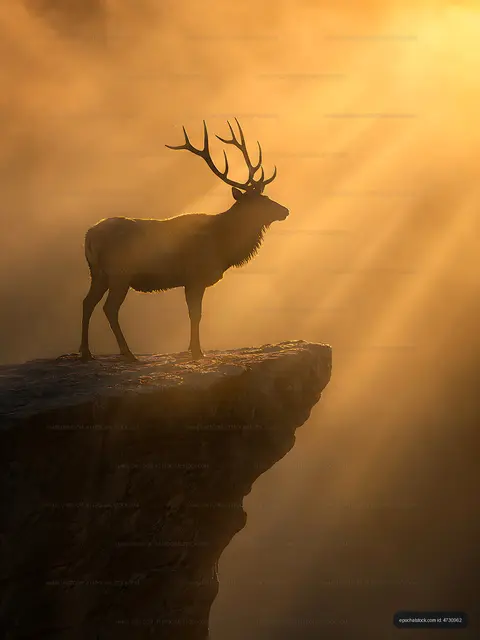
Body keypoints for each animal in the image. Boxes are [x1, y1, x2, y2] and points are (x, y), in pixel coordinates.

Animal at [79, 118, 289, 363]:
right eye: (259, 201)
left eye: (266, 196)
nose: (285, 210)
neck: (223, 245)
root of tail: (89, 237)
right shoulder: (195, 276)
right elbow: (195, 314)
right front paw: (197, 351)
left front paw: (192, 349)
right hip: (120, 273)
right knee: (109, 308)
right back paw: (128, 353)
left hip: (98, 273)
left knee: (87, 302)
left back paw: (86, 352)